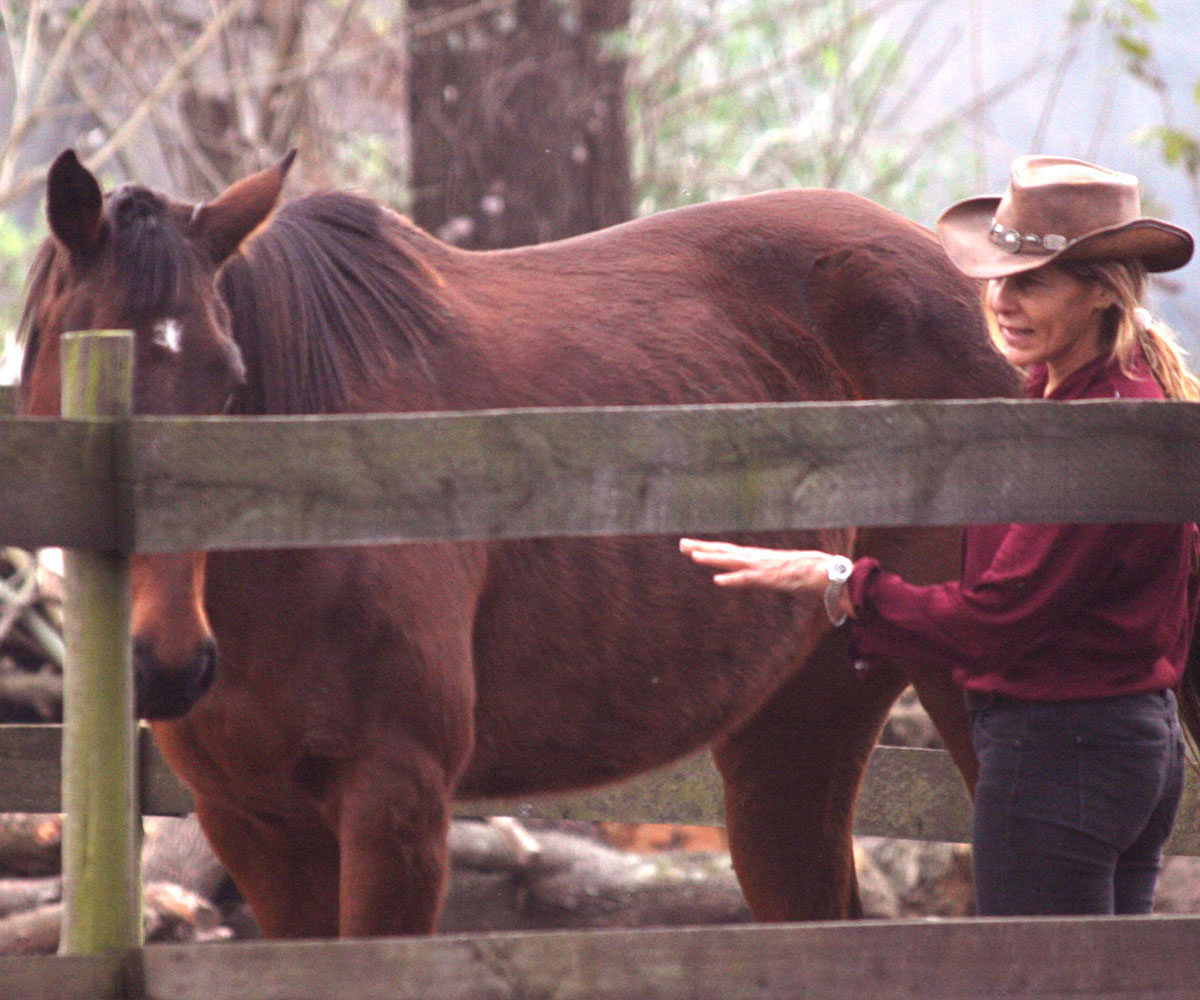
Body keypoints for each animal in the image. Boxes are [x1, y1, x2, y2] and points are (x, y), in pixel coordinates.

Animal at [20, 149, 1020, 937]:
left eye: (229, 383)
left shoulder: (395, 805)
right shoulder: (255, 823)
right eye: (69, 364)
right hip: (794, 728)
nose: (167, 661)